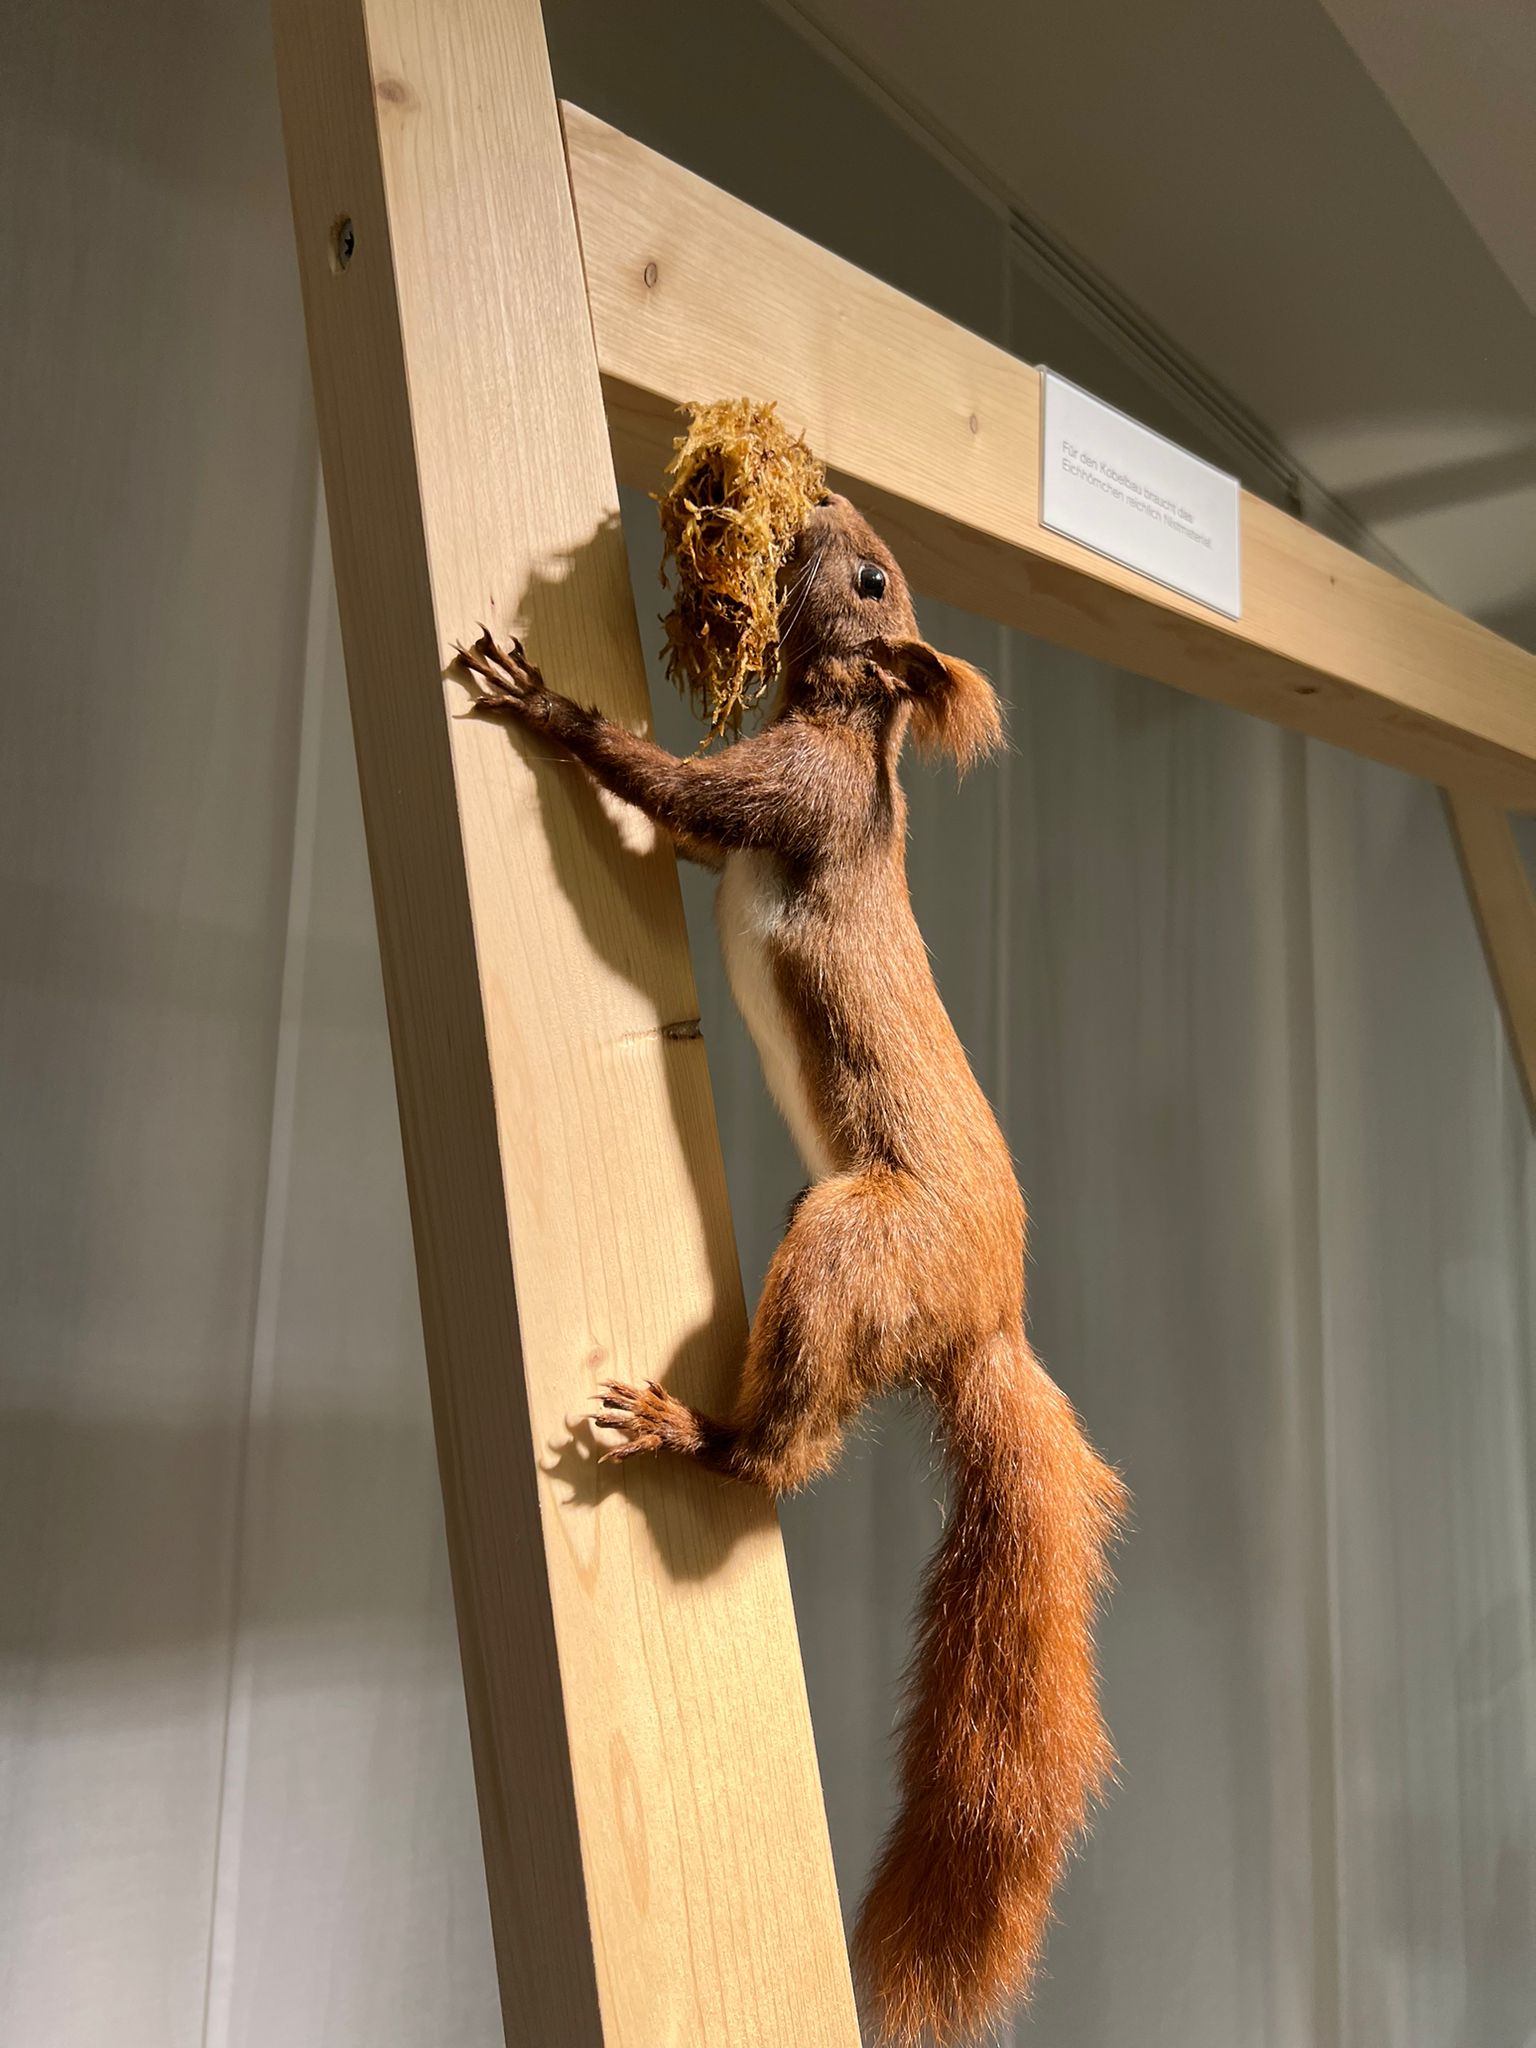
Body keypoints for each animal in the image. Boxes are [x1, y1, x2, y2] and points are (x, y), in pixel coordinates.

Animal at [457, 491, 1127, 2048]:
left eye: (871, 577)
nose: (815, 497)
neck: (855, 740)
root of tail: (986, 1322)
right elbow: (690, 844)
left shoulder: (792, 795)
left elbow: (684, 798)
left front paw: (548, 709)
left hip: (850, 1248)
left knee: (790, 1447)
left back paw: (692, 1431)